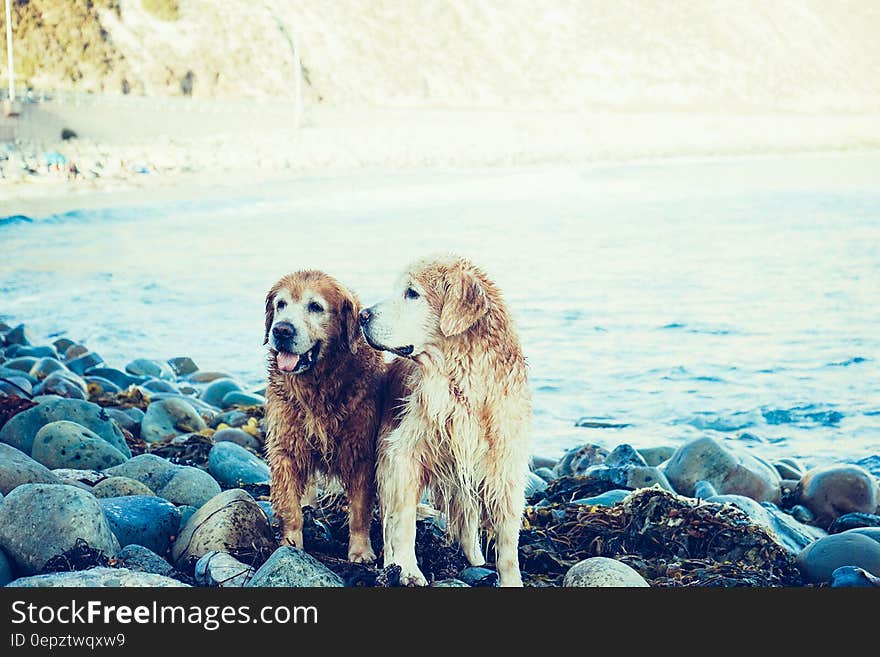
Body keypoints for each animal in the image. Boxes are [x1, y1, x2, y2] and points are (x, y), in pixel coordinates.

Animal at [262, 270, 384, 560]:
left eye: (315, 307)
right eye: (281, 304)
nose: (281, 330)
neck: (319, 385)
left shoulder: (361, 451)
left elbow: (360, 511)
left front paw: (361, 551)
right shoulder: (285, 446)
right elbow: (289, 505)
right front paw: (290, 543)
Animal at [358, 254, 528, 588]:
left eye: (412, 293)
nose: (362, 315)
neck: (461, 381)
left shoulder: (505, 465)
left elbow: (507, 540)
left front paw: (511, 580)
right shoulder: (402, 455)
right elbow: (403, 522)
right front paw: (408, 570)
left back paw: (475, 560)